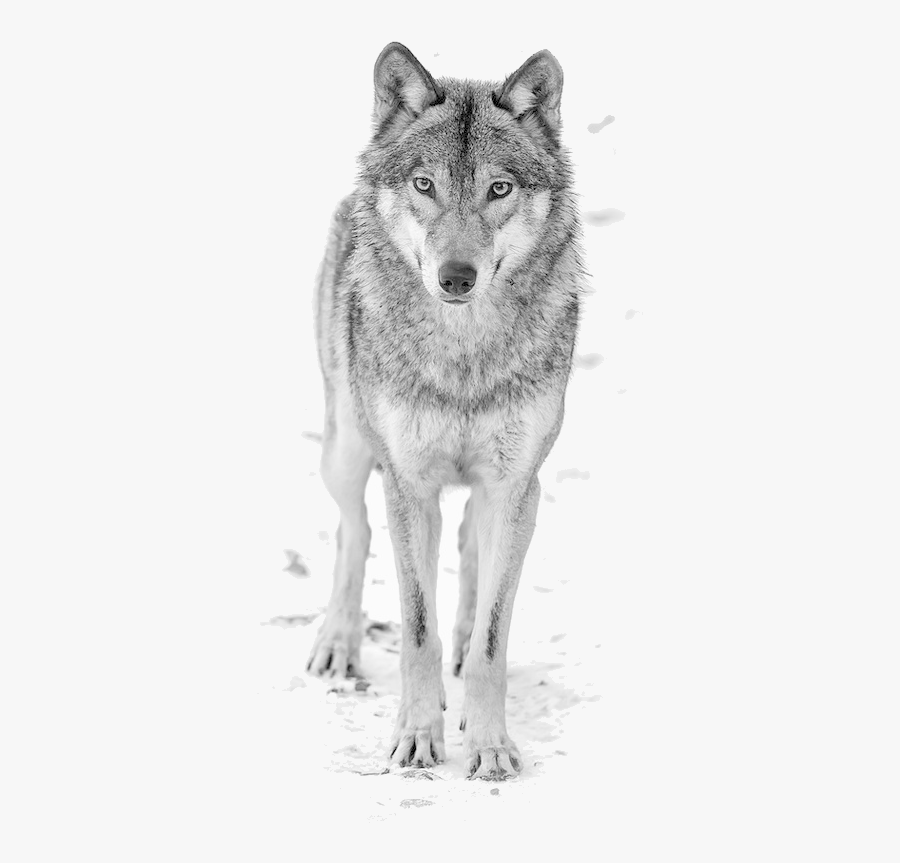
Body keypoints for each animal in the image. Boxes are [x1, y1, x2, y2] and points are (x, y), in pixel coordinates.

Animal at [307, 42, 586, 779]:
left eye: (499, 189)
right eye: (426, 185)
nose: (456, 278)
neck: (464, 359)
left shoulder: (515, 485)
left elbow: (492, 637)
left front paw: (487, 744)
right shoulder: (410, 485)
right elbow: (416, 627)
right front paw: (416, 737)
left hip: (498, 493)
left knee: (469, 552)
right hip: (347, 451)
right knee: (354, 532)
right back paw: (338, 643)